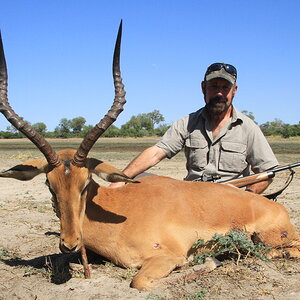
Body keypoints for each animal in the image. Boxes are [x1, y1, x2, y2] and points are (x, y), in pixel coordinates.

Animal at [0, 22, 300, 290]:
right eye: (49, 184)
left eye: (85, 184)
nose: (69, 243)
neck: (119, 208)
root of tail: (277, 208)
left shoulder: (166, 256)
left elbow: (139, 281)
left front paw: (211, 260)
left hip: (272, 239)